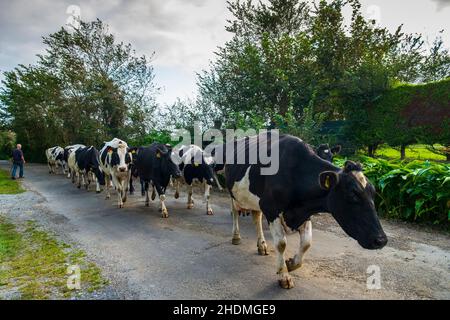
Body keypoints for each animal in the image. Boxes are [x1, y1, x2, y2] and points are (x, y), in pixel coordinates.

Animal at [214, 134, 386, 288]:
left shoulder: (304, 211)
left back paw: (262, 245)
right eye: (353, 194)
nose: (381, 240)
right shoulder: (271, 208)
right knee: (235, 212)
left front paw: (291, 264)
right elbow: (281, 244)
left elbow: (307, 243)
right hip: (233, 192)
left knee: (256, 216)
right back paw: (236, 236)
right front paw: (284, 275)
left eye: (373, 193)